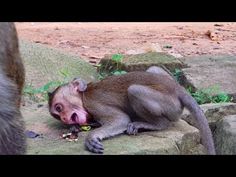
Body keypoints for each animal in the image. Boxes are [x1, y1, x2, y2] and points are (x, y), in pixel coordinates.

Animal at [48, 65, 216, 154]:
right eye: (57, 115)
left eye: (59, 107)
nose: (64, 118)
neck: (84, 95)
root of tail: (177, 88)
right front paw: (75, 127)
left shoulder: (94, 104)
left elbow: (120, 120)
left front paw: (91, 137)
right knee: (153, 68)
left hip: (171, 106)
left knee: (134, 90)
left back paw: (155, 124)